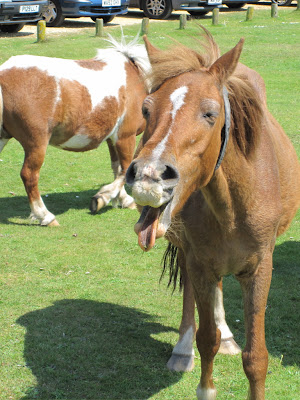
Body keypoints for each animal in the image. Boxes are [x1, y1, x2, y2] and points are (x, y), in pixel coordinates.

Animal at [0, 35, 149, 225]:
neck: (137, 75)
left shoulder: (112, 138)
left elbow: (117, 169)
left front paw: (121, 199)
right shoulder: (125, 136)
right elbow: (125, 169)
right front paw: (102, 198)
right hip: (37, 143)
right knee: (29, 175)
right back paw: (45, 215)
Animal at [126, 29, 300, 398]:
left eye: (209, 113)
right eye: (146, 109)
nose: (148, 176)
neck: (232, 207)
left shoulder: (260, 269)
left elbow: (256, 357)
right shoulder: (200, 262)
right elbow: (207, 340)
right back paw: (182, 349)